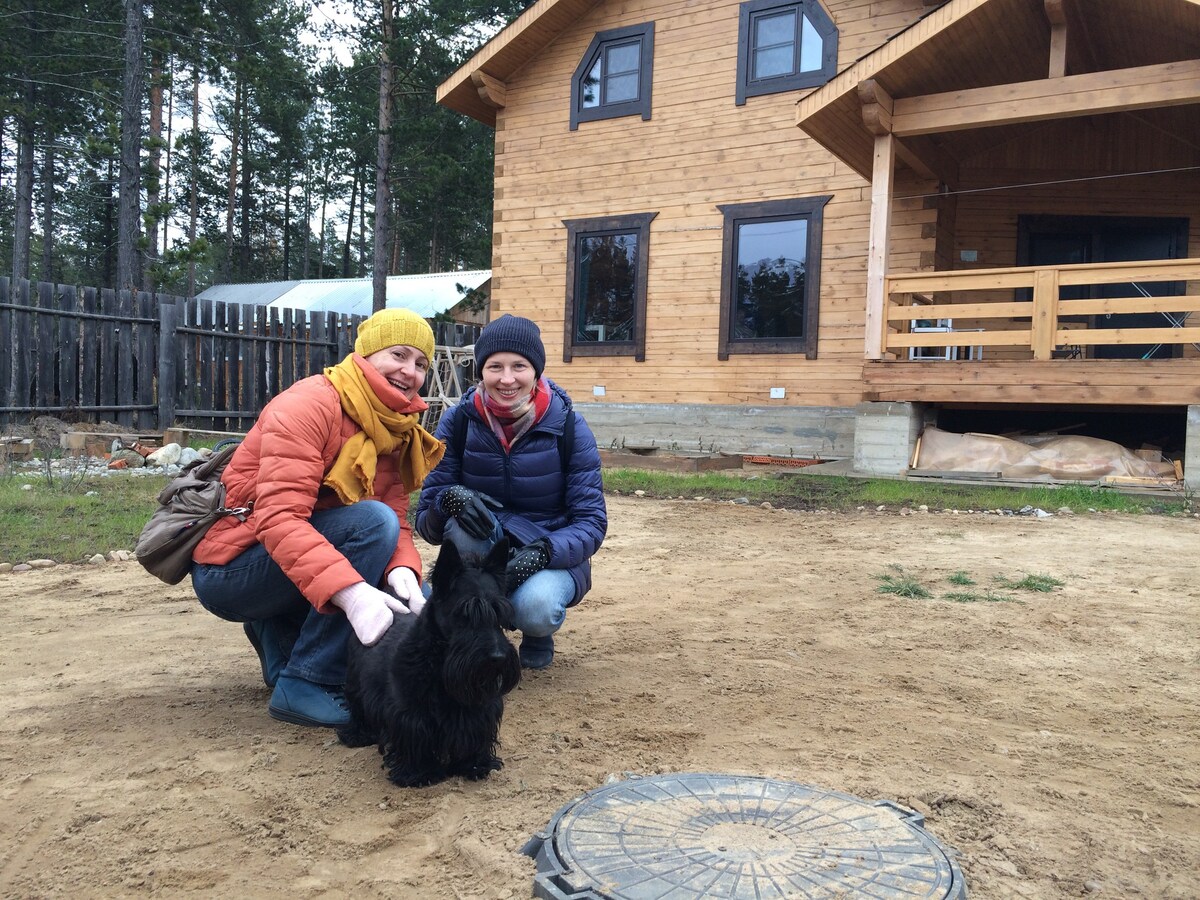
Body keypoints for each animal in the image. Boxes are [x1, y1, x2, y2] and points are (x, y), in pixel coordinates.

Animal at [340, 540, 523, 787]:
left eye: (499, 613)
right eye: (465, 613)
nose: (498, 657)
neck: (438, 664)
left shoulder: (477, 711)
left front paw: (475, 764)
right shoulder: (410, 716)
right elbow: (415, 742)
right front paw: (419, 773)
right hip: (355, 682)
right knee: (357, 706)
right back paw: (358, 734)